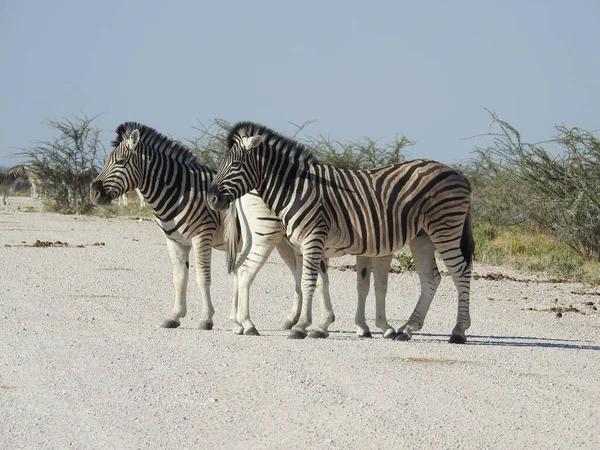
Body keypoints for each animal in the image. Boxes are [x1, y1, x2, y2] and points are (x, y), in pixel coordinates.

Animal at [209, 121, 476, 342]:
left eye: (235, 164)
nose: (212, 198)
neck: (296, 187)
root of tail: (456, 172)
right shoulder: (316, 242)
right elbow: (324, 283)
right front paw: (321, 326)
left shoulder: (314, 239)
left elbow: (310, 282)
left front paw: (302, 327)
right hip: (423, 236)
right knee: (431, 277)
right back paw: (408, 329)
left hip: (444, 229)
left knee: (460, 272)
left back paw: (458, 331)